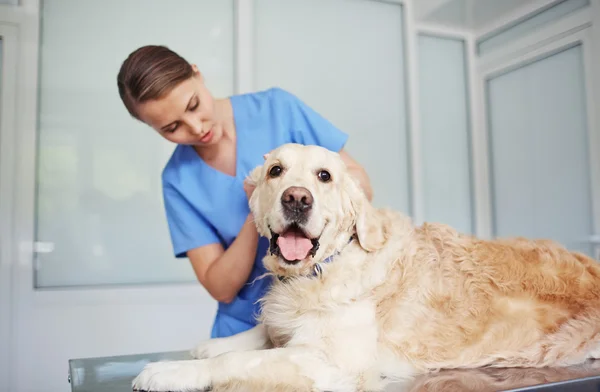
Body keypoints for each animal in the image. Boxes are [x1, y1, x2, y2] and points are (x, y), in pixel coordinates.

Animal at [132, 144, 600, 392]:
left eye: (324, 176)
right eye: (275, 171)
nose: (297, 198)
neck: (323, 269)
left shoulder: (334, 362)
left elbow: (242, 362)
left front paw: (170, 371)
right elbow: (259, 335)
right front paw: (213, 344)